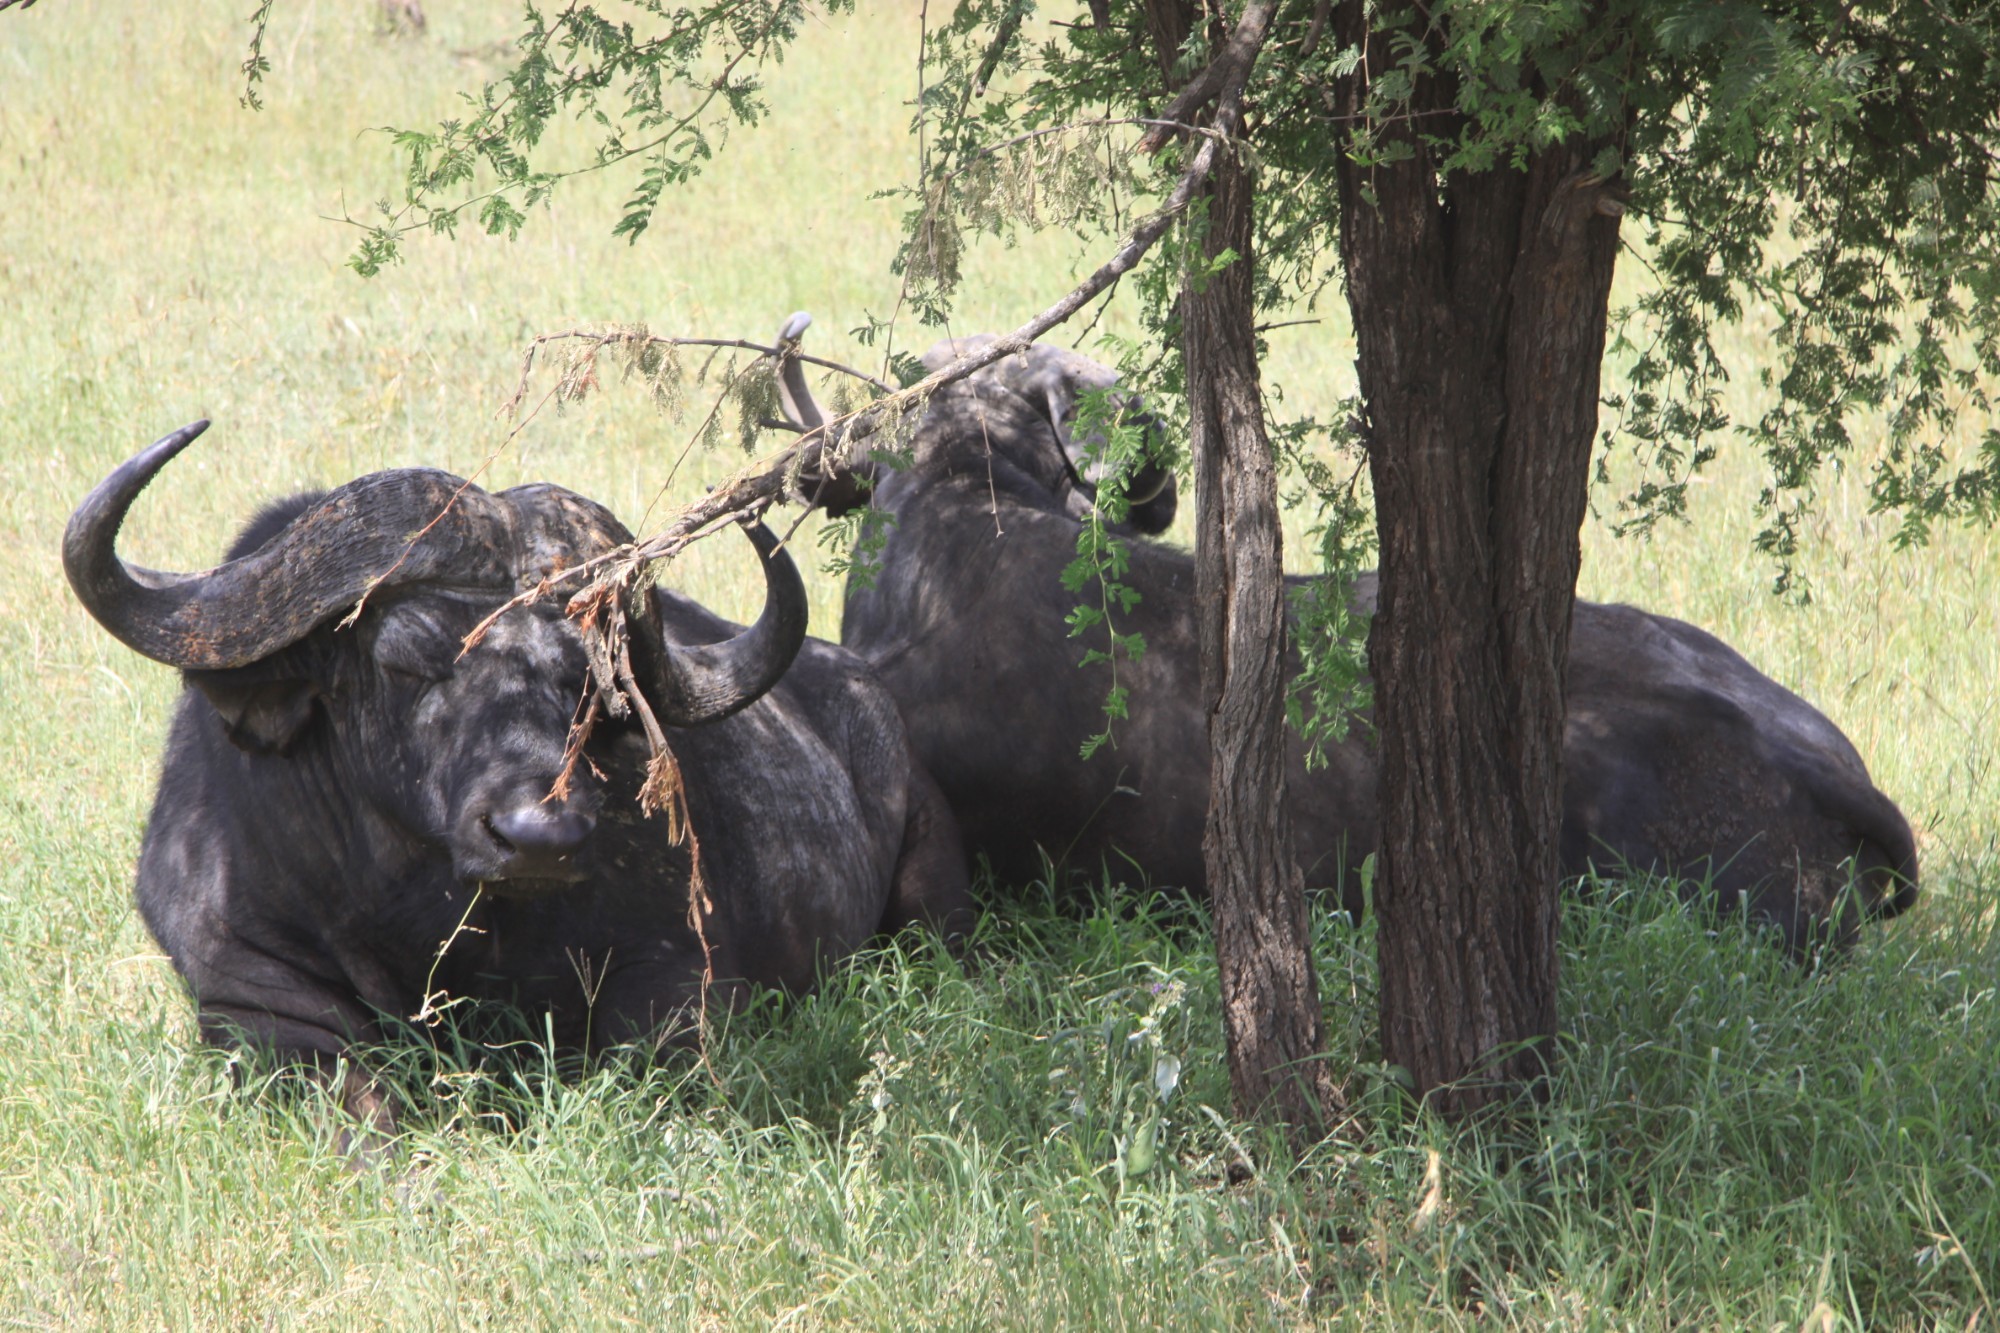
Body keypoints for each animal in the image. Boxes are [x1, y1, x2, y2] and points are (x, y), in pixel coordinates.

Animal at [64, 420, 968, 1128]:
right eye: (403, 655)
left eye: (594, 681)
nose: (539, 834)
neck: (425, 926)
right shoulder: (249, 1000)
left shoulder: (684, 984)